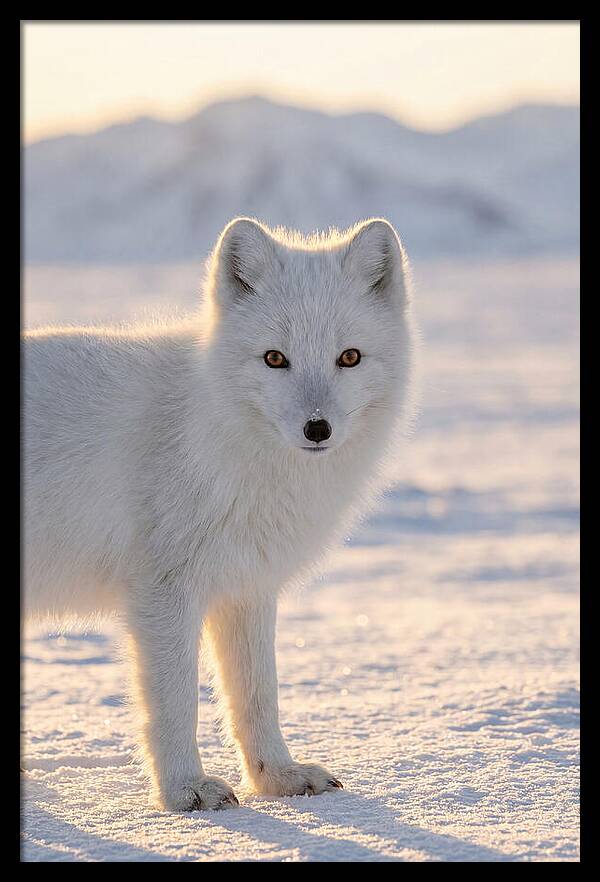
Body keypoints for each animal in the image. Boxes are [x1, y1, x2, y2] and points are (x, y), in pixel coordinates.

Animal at [23, 217, 417, 812]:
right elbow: (176, 702)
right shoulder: (163, 591)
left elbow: (257, 695)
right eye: (275, 358)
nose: (317, 428)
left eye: (349, 357)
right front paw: (184, 791)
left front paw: (278, 778)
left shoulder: (246, 586)